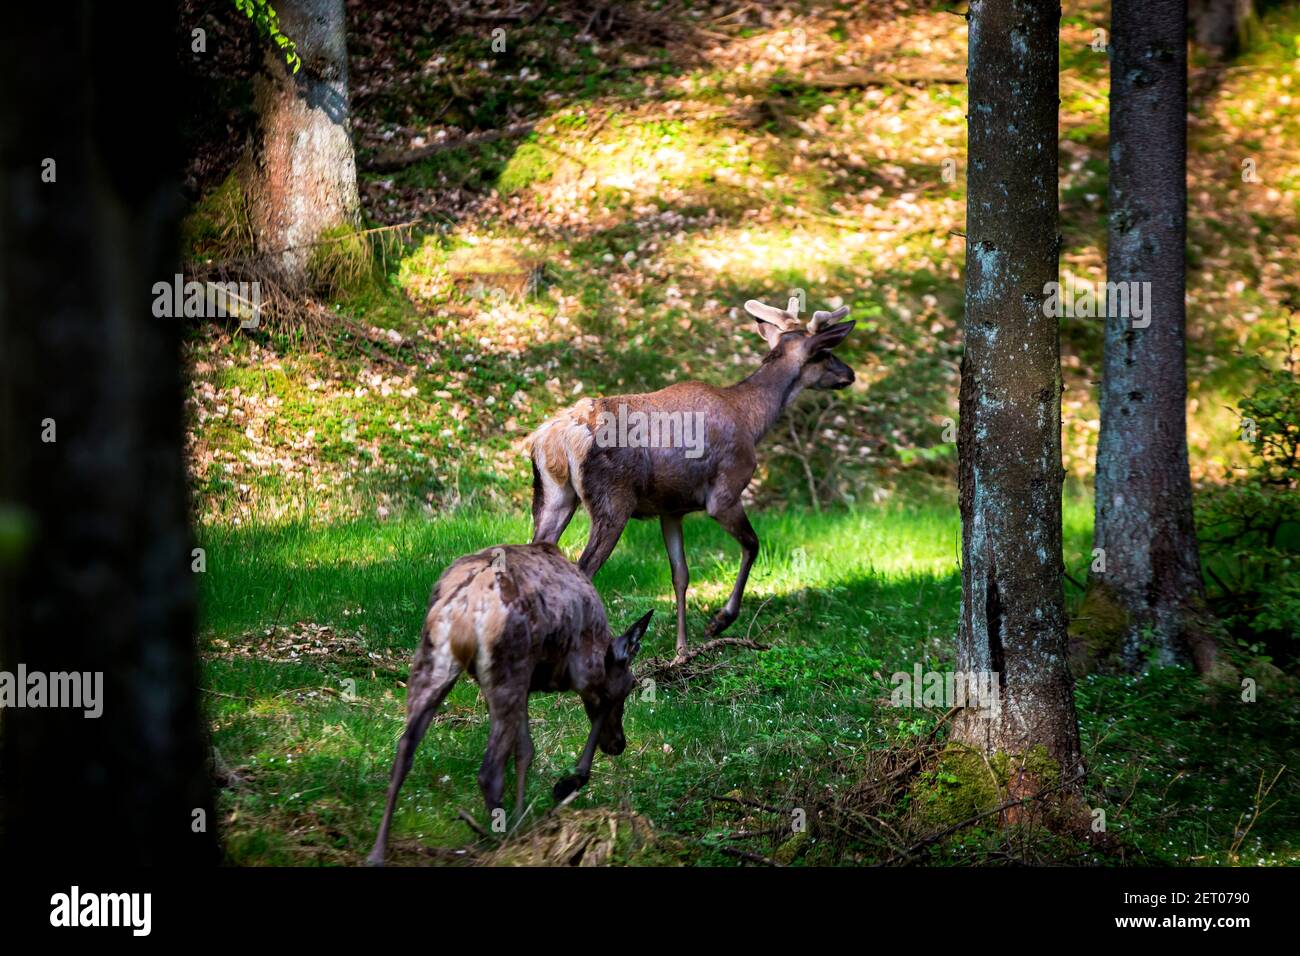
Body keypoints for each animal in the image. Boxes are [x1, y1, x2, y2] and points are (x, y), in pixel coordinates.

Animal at [366, 538, 650, 868]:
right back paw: (504, 842)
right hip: (509, 666)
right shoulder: (583, 670)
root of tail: (464, 608)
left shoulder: (526, 684)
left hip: (434, 662)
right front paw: (569, 782)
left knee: (404, 749)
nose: (619, 743)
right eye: (631, 685)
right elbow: (598, 708)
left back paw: (377, 852)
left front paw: (523, 811)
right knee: (488, 771)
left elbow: (525, 749)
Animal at [522, 299, 857, 665]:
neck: (750, 418)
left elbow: (680, 574)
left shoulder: (671, 508)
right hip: (612, 499)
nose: (850, 374)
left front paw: (681, 651)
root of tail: (553, 436)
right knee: (583, 569)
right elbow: (752, 544)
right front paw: (720, 620)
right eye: (825, 352)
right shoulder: (724, 492)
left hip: (552, 496)